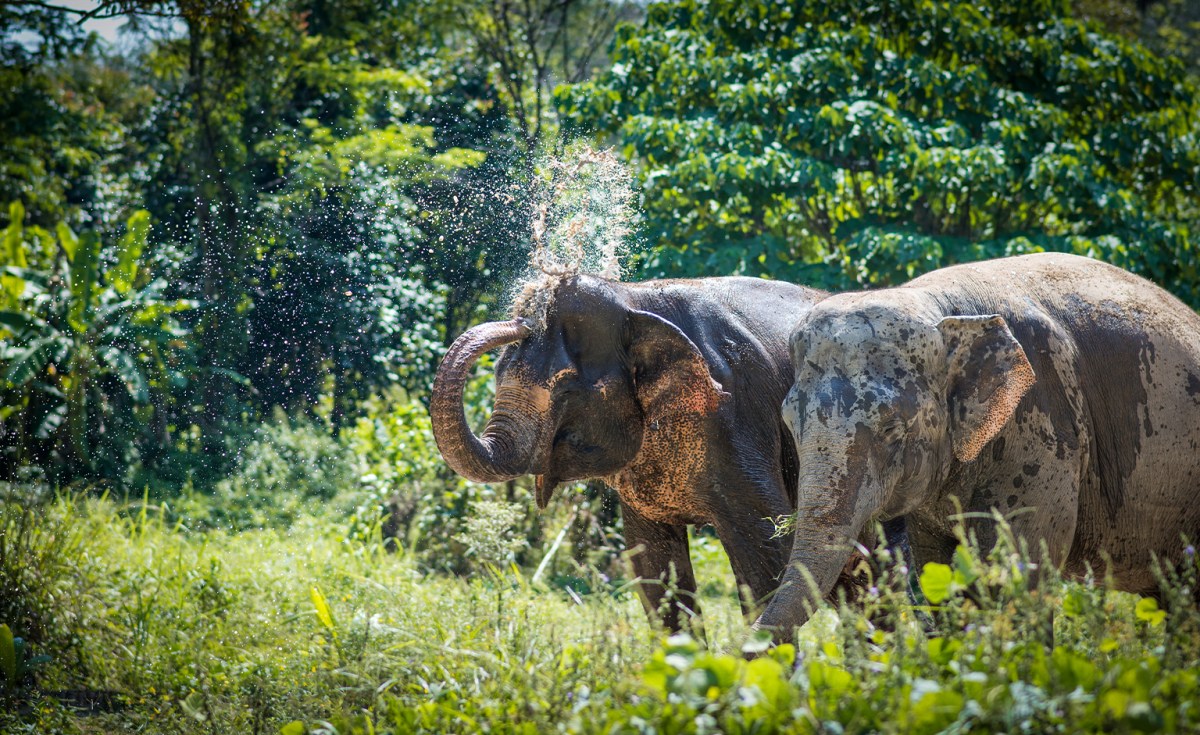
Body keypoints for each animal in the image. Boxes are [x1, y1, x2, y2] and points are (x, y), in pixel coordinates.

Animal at [430, 274, 827, 630]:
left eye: (566, 390)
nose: (521, 320)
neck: (632, 300)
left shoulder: (738, 419)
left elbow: (770, 552)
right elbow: (653, 567)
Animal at [754, 252, 1200, 639]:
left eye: (892, 429)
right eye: (790, 424)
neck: (940, 308)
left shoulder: (1043, 427)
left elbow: (1018, 573)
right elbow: (936, 569)